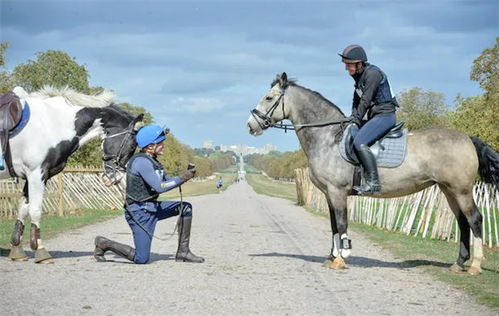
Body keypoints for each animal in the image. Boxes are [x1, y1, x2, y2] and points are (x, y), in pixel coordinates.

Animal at [3, 85, 143, 262]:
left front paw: (16, 249)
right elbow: (35, 209)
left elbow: (23, 208)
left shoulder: (34, 176)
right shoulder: (36, 174)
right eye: (132, 146)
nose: (118, 178)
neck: (51, 123)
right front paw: (40, 250)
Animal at [248, 73, 498, 276]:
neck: (329, 138)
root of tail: (467, 138)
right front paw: (332, 256)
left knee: (475, 219)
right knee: (462, 222)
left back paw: (475, 266)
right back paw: (458, 264)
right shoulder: (329, 194)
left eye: (269, 98)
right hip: (448, 190)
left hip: (461, 189)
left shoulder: (338, 193)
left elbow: (342, 224)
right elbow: (333, 225)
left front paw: (341, 258)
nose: (251, 125)